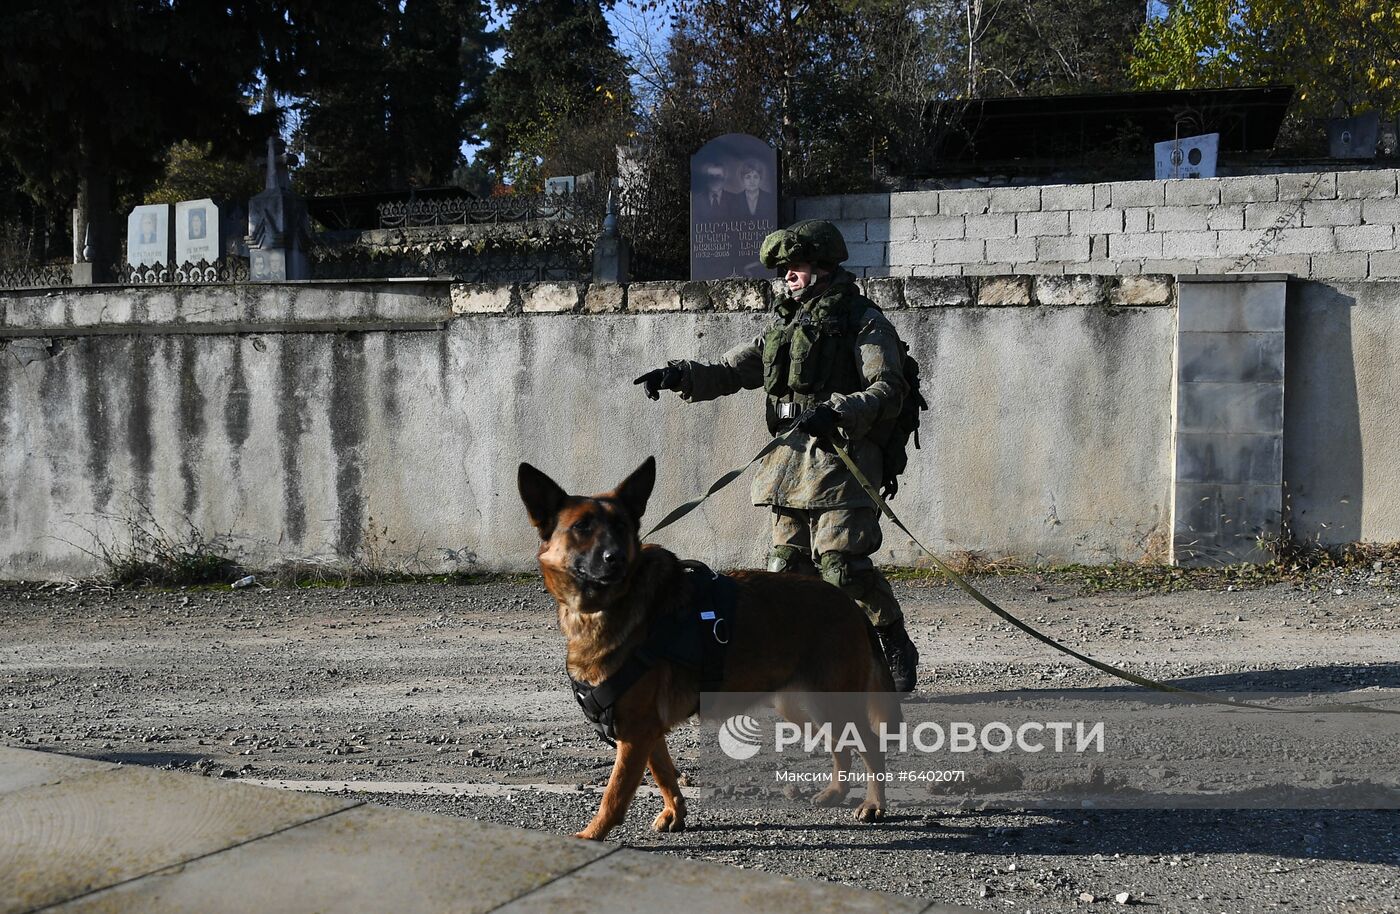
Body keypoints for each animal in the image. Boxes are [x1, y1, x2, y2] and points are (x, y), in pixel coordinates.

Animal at [515, 456, 896, 839]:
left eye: (621, 527)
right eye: (582, 527)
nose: (616, 558)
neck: (606, 607)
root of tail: (850, 605)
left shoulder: (635, 732)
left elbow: (615, 794)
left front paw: (591, 837)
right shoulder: (646, 731)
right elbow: (664, 775)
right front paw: (675, 813)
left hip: (831, 702)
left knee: (870, 746)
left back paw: (874, 804)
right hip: (806, 706)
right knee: (840, 745)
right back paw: (837, 791)